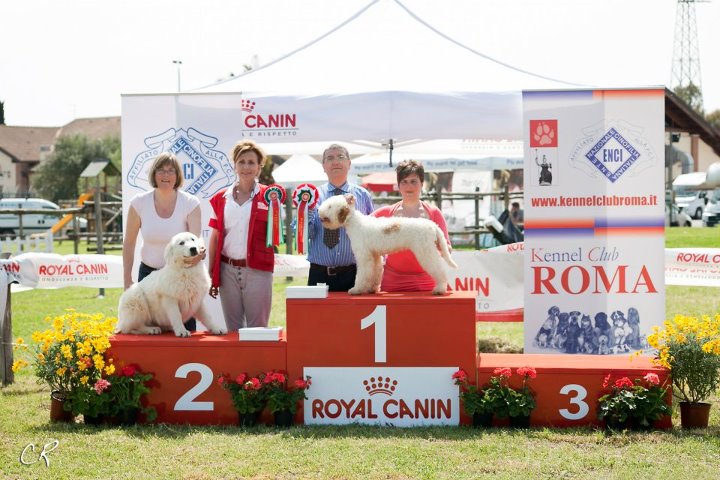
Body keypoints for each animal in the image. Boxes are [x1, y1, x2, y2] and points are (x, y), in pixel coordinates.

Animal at [318, 194, 457, 295]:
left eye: (329, 206)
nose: (319, 210)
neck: (355, 222)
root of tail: (433, 225)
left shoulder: (364, 256)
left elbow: (363, 273)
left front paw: (356, 290)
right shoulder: (374, 256)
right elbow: (375, 272)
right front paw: (371, 289)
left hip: (426, 251)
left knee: (439, 270)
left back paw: (439, 289)